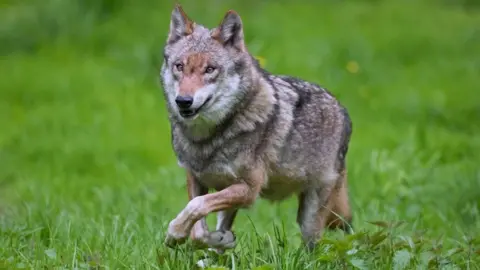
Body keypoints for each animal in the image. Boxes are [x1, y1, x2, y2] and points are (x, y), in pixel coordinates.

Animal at [160, 4, 352, 252]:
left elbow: (195, 206)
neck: (208, 139)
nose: (183, 101)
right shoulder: (196, 178)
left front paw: (174, 232)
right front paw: (206, 238)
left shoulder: (249, 189)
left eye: (210, 69)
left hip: (310, 219)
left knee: (315, 247)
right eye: (179, 67)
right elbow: (198, 229)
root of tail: (342, 109)